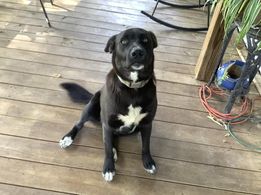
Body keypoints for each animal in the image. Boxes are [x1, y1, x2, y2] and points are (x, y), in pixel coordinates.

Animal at [59, 28, 156, 182]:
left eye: (145, 40)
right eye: (123, 41)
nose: (137, 52)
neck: (133, 89)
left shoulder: (147, 124)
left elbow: (146, 146)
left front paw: (148, 162)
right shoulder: (108, 124)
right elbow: (107, 149)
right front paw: (109, 168)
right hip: (92, 106)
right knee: (79, 124)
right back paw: (68, 138)